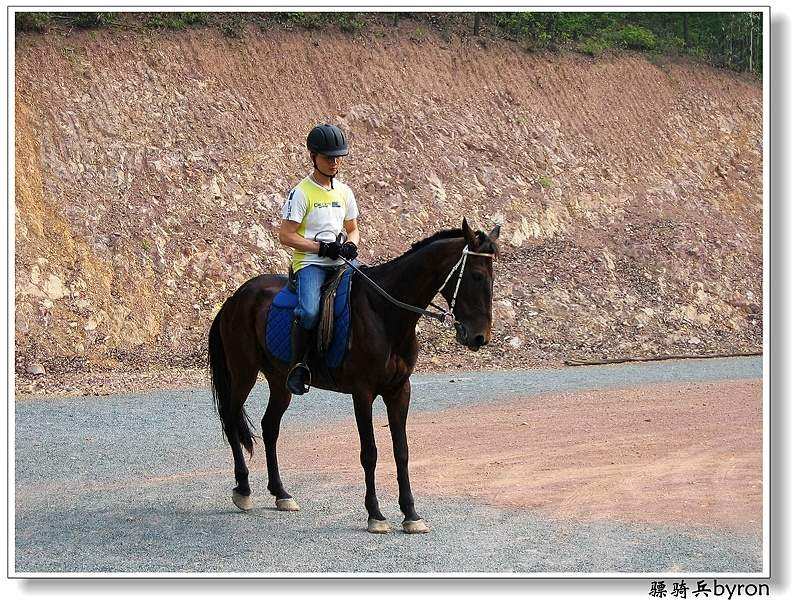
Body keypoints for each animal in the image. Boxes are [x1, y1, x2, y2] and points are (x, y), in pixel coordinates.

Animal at [208, 217, 500, 536]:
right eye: (475, 276)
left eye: (491, 277)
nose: (479, 337)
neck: (385, 313)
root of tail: (235, 298)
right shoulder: (363, 393)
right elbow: (369, 453)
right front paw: (375, 514)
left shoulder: (400, 390)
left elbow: (402, 451)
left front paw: (410, 514)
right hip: (243, 373)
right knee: (232, 419)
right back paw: (243, 489)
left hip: (279, 381)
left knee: (270, 427)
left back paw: (281, 493)